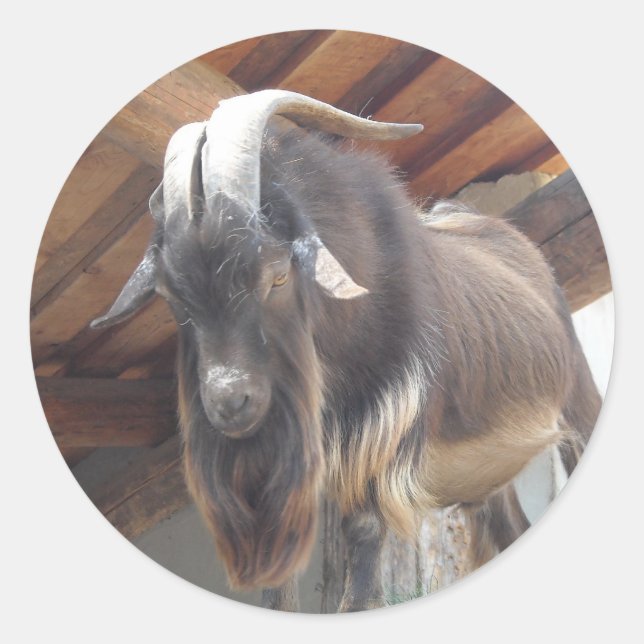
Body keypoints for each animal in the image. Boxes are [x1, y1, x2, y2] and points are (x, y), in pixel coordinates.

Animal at [91, 90, 601, 612]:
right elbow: (281, 581)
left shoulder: (385, 429)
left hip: (578, 397)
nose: (230, 404)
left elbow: (363, 548)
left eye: (277, 275)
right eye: (172, 297)